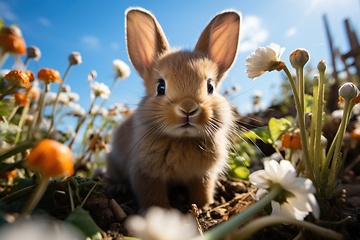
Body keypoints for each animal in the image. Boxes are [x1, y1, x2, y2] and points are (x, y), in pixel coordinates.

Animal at [105, 6, 240, 211]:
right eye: (160, 87)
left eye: (210, 87)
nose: (188, 109)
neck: (182, 139)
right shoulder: (146, 175)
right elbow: (153, 196)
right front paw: (161, 212)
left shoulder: (203, 176)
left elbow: (202, 190)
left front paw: (203, 206)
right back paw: (118, 187)